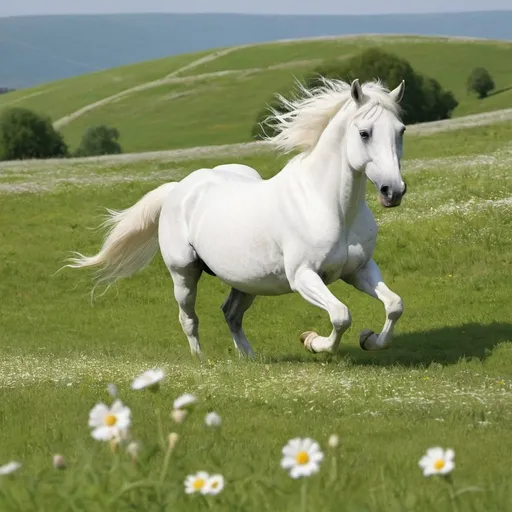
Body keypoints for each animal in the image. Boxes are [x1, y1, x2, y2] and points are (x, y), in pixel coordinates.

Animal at [68, 78, 408, 358]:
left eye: (401, 130)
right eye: (364, 133)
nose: (393, 191)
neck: (329, 206)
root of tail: (178, 188)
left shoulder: (359, 270)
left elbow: (394, 305)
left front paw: (370, 339)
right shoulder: (303, 276)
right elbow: (340, 315)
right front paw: (312, 342)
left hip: (246, 281)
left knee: (230, 312)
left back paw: (249, 357)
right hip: (184, 274)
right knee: (188, 318)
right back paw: (202, 360)